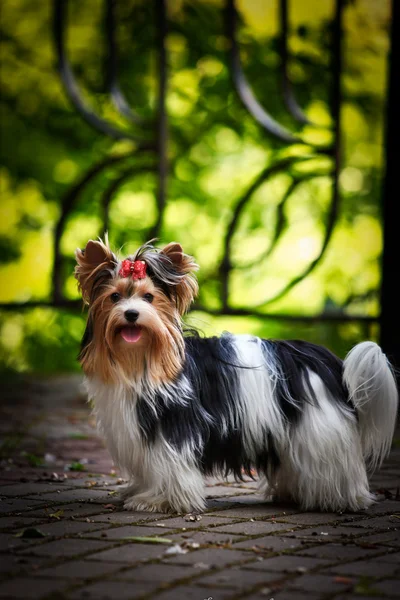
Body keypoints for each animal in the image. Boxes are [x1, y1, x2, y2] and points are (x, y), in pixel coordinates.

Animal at [74, 237, 396, 512]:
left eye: (149, 297)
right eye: (115, 296)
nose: (131, 314)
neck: (138, 360)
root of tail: (326, 360)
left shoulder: (172, 426)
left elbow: (170, 464)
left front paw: (161, 501)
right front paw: (141, 492)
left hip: (319, 427)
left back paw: (340, 499)